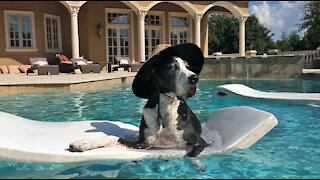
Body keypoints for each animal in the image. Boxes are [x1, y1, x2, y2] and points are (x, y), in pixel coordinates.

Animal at [69, 43, 208, 157]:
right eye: (172, 67)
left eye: (188, 67)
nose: (194, 78)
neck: (164, 107)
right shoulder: (143, 144)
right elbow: (113, 136)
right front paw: (84, 143)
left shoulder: (200, 142)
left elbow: (191, 155)